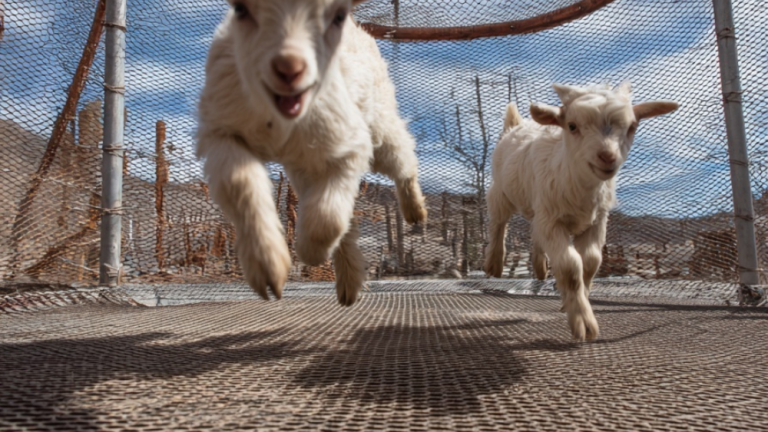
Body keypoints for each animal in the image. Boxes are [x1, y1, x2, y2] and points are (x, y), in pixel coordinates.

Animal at [196, 0, 427, 306]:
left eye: (337, 15)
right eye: (240, 9)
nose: (289, 69)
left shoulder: (348, 143)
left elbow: (328, 218)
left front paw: (310, 253)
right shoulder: (223, 132)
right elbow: (239, 183)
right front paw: (267, 264)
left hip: (377, 124)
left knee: (401, 154)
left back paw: (415, 210)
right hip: (304, 164)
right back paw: (348, 283)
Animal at [484, 83, 678, 340]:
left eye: (632, 127)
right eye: (572, 126)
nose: (607, 157)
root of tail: (516, 125)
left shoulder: (595, 222)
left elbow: (591, 261)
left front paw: (579, 298)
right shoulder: (553, 221)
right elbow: (570, 265)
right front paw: (583, 321)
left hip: (539, 208)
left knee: (535, 233)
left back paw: (540, 267)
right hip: (502, 191)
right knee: (498, 222)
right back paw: (494, 263)